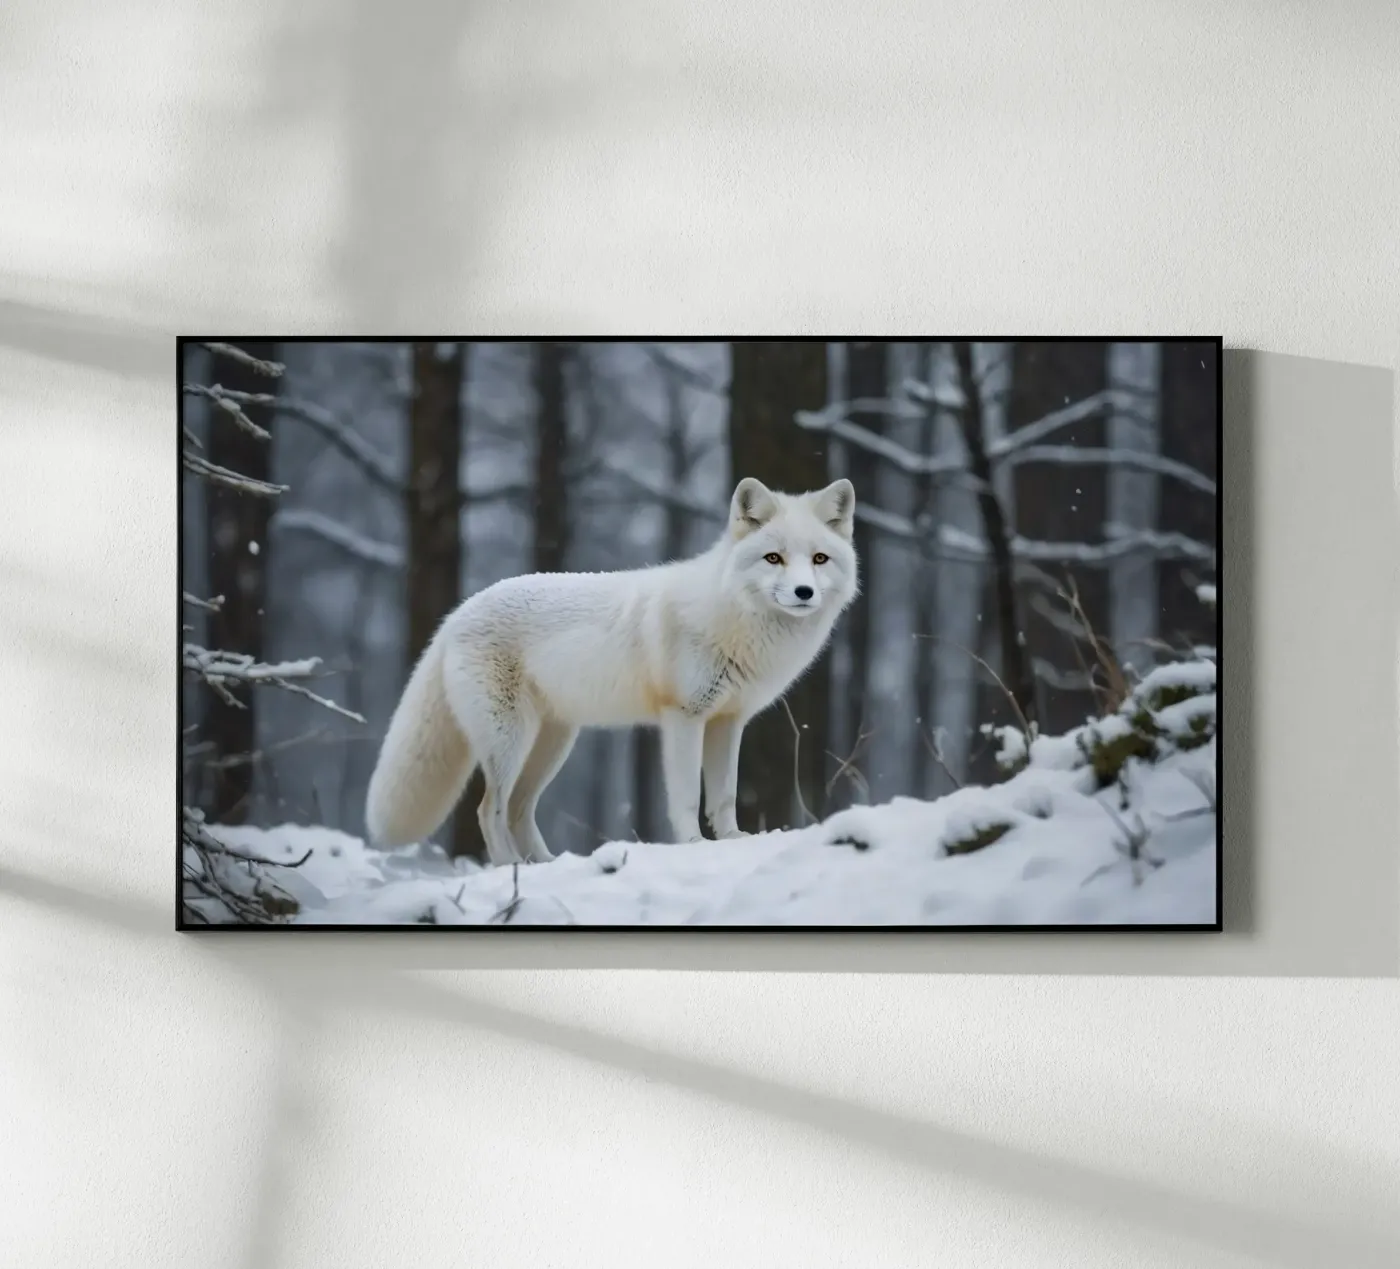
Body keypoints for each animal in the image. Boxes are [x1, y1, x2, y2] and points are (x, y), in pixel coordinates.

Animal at [364, 475, 859, 866]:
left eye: (819, 559)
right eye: (774, 558)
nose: (803, 592)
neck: (732, 618)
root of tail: (457, 614)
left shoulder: (728, 721)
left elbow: (724, 796)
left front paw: (734, 841)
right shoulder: (684, 718)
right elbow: (686, 797)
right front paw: (693, 845)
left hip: (553, 744)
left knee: (520, 809)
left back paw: (547, 864)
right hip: (510, 741)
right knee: (489, 811)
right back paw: (512, 868)